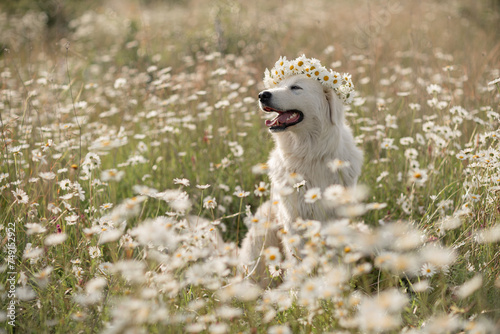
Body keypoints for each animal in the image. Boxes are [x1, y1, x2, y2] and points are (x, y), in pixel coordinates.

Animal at [240, 58, 362, 286]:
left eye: (296, 87)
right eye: (279, 85)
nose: (262, 95)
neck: (310, 154)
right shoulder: (293, 220)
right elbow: (298, 259)